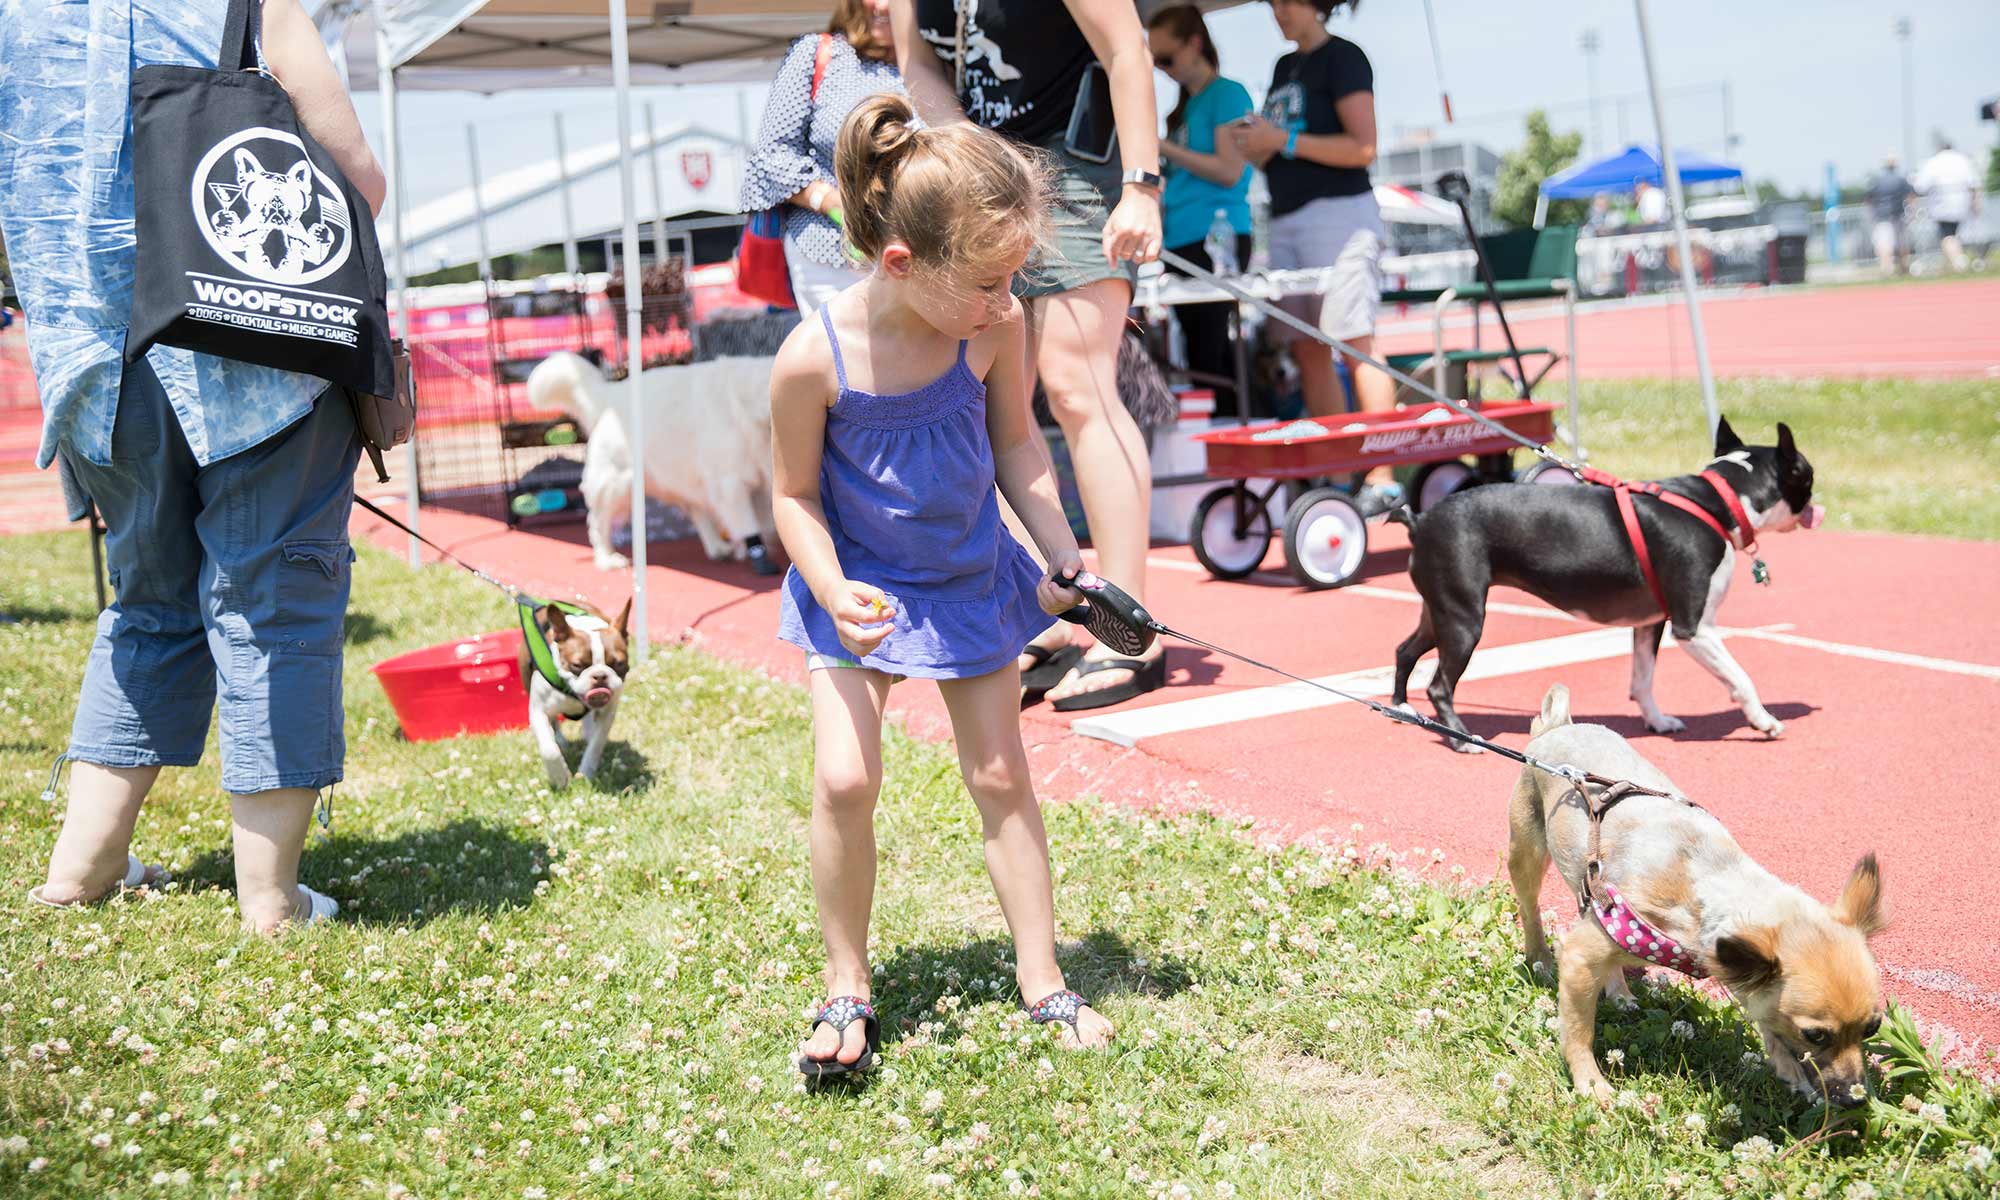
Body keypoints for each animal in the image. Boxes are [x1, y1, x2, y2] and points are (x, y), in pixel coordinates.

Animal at [528, 352, 776, 572]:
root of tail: (612, 393)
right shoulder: (731, 485)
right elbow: (749, 525)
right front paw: (759, 557)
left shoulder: (761, 484)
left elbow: (765, 523)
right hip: (618, 484)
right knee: (597, 522)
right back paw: (607, 558)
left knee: (696, 510)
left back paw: (717, 547)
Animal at [1504, 684, 1880, 1104]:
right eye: (1815, 1035)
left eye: (1872, 1028)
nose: (1856, 1097)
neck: (1706, 884)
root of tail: (1557, 726)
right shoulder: (1580, 957)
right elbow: (1578, 1032)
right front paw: (1589, 1082)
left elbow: (1763, 1016)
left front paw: (1789, 1070)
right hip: (1527, 851)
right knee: (1529, 906)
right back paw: (1539, 956)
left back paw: (1618, 991)